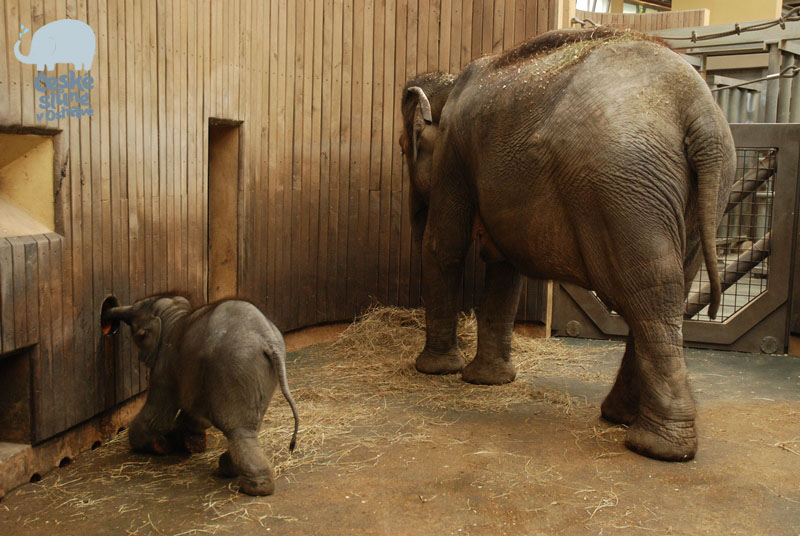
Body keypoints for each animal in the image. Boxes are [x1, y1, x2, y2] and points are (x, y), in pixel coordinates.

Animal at [101, 296, 296, 496]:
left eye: (134, 326)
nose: (107, 315)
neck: (174, 316)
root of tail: (269, 340)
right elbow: (197, 415)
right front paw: (185, 442)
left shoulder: (164, 367)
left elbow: (158, 416)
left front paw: (160, 445)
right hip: (261, 374)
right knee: (249, 427)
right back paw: (229, 469)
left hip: (236, 367)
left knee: (238, 430)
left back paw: (253, 488)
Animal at [400, 27, 736, 460]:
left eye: (403, 148)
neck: (450, 81)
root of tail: (699, 111)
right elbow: (504, 266)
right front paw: (487, 381)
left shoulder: (454, 152)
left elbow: (445, 247)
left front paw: (436, 371)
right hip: (701, 189)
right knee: (666, 288)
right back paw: (623, 419)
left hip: (622, 184)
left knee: (647, 289)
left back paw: (656, 446)